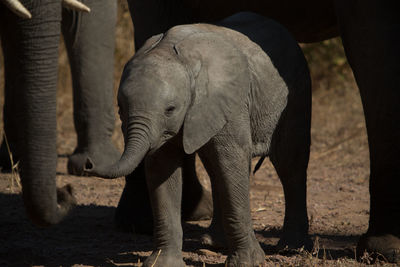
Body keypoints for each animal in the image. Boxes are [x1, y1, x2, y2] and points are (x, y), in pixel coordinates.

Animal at [114, 0, 398, 264]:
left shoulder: (230, 101)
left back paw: (291, 248)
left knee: (290, 164)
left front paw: (248, 263)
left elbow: (232, 161)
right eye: (120, 108)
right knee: (216, 169)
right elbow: (163, 169)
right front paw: (161, 263)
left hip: (296, 93)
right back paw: (212, 243)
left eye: (170, 109)